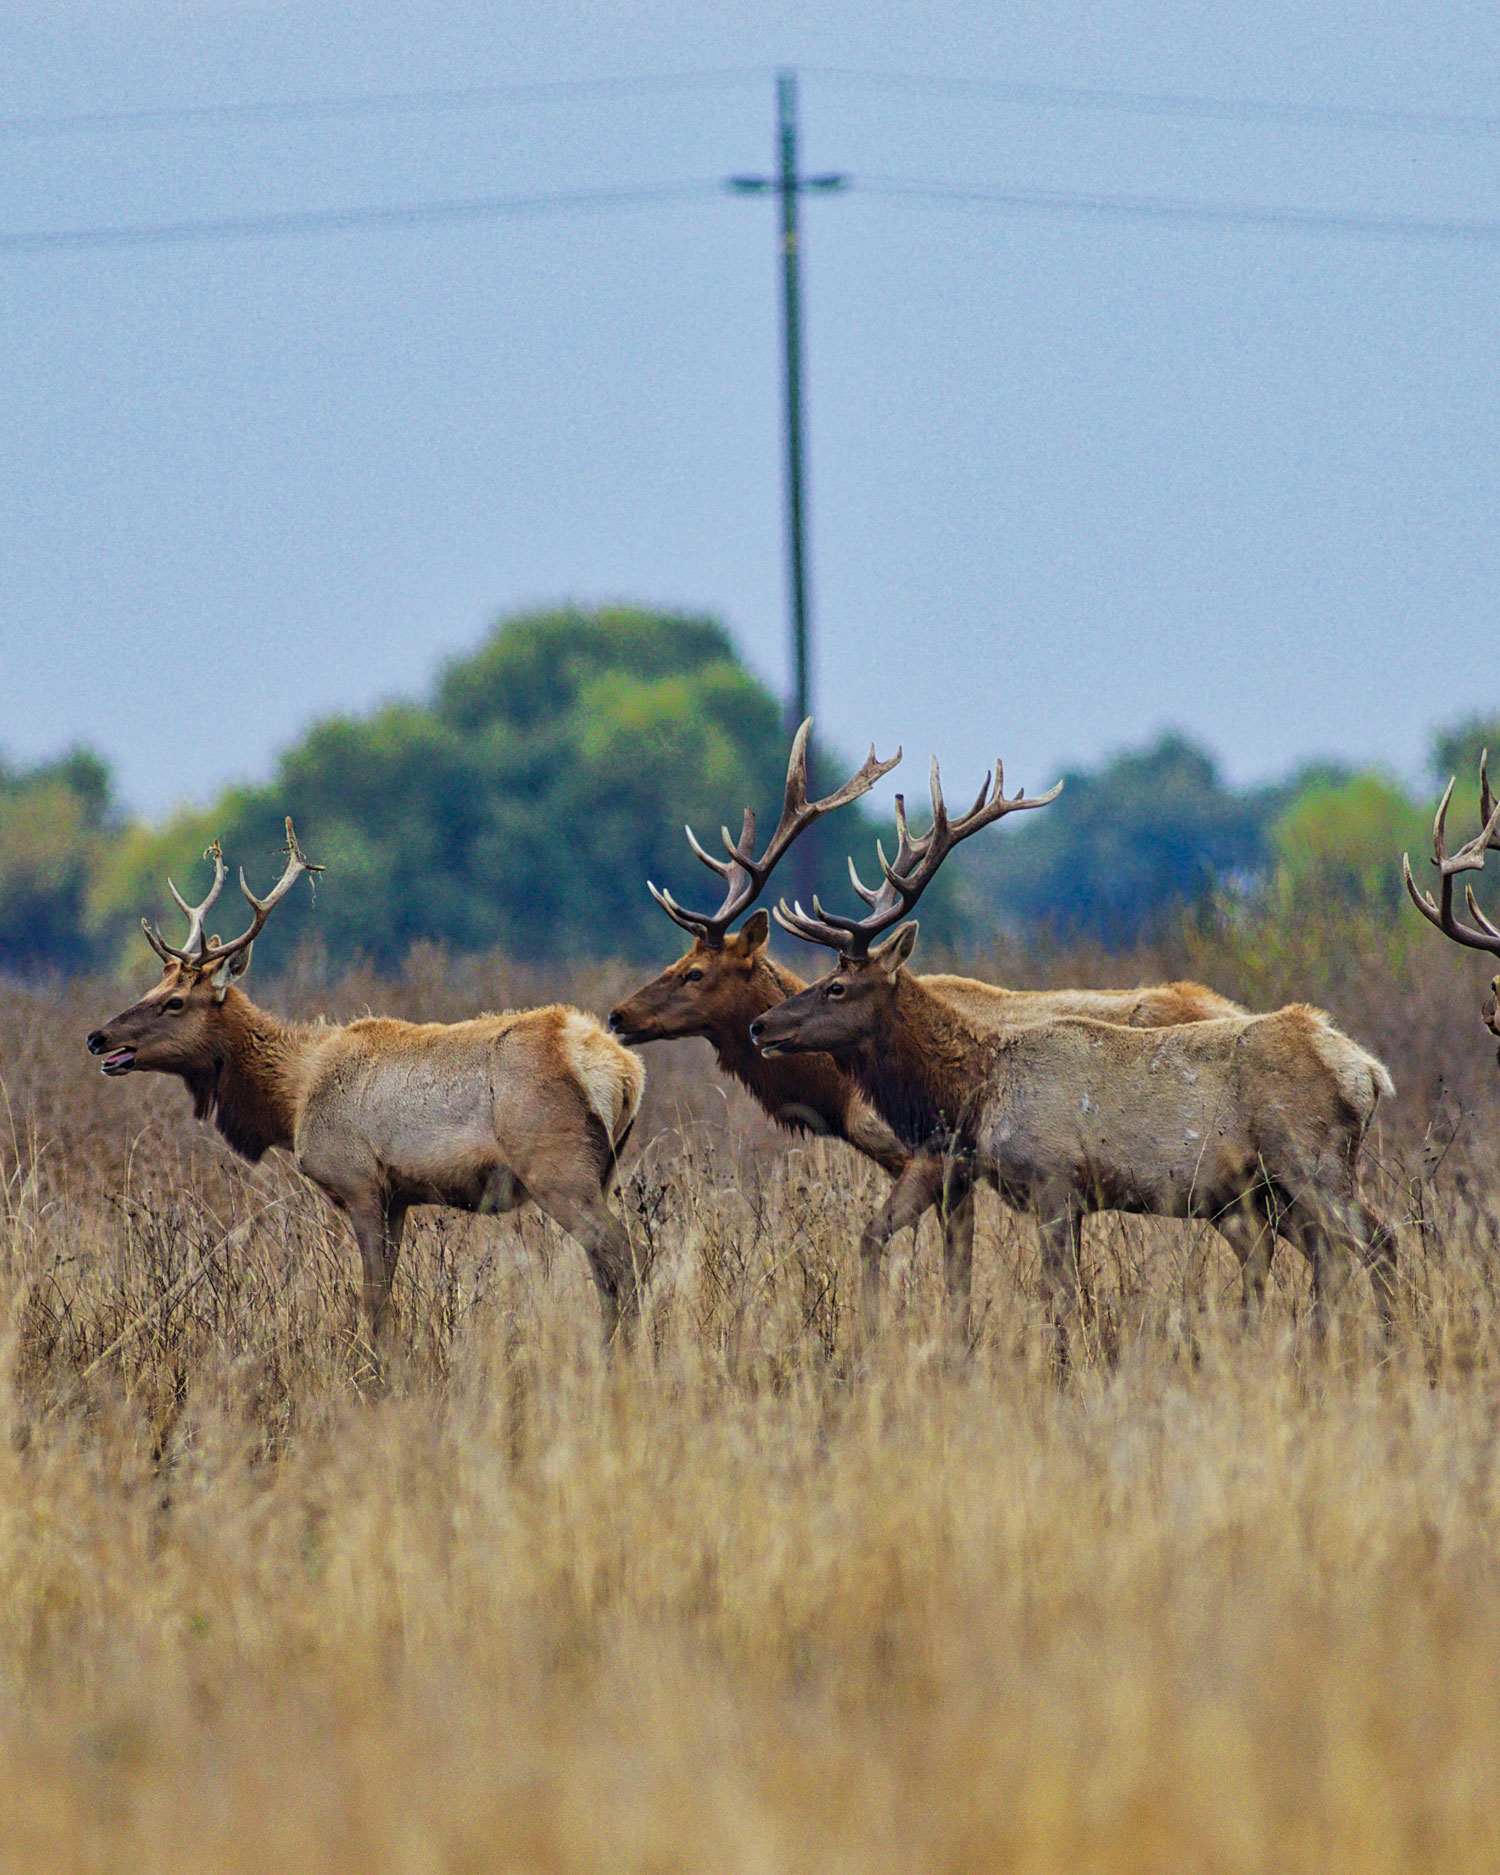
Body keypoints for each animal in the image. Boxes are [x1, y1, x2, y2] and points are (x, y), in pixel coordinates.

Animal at [84, 828, 641, 1342]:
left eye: (174, 1001)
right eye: (153, 986)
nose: (97, 1037)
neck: (291, 1098)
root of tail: (624, 1070)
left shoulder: (357, 1180)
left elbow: (373, 1301)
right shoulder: (397, 1197)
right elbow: (384, 1293)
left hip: (557, 1167)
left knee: (621, 1254)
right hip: (602, 1170)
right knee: (607, 1268)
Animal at [607, 723, 1245, 1327]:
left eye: (694, 972)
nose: (617, 1015)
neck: (838, 1097)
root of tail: (1229, 1008)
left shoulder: (935, 1159)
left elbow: (920, 1255)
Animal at [757, 753, 1402, 1342]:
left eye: (837, 987)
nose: (761, 1025)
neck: (978, 1093)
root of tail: (1369, 1073)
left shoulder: (1054, 1181)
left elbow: (1061, 1299)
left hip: (1312, 1160)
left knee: (1378, 1240)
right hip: (1271, 1189)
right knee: (1331, 1254)